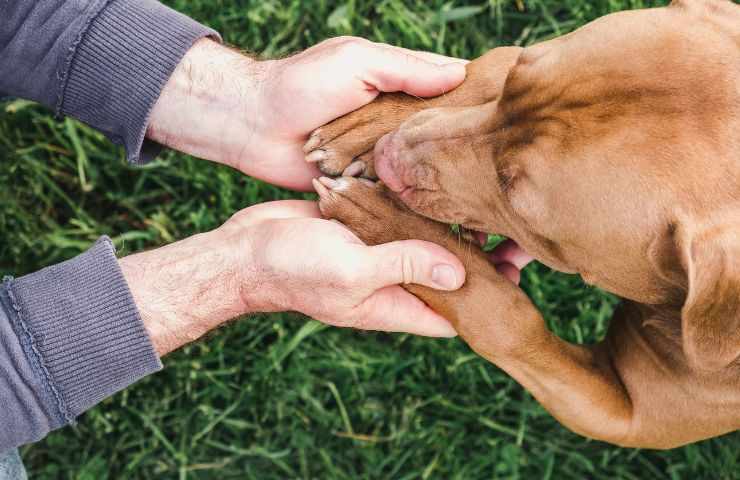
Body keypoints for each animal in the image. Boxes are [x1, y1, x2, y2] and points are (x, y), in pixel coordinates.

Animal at [302, 0, 740, 450]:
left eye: (517, 203)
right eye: (513, 81)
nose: (386, 154)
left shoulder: (619, 415)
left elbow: (509, 321)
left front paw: (392, 224)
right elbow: (489, 67)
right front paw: (367, 129)